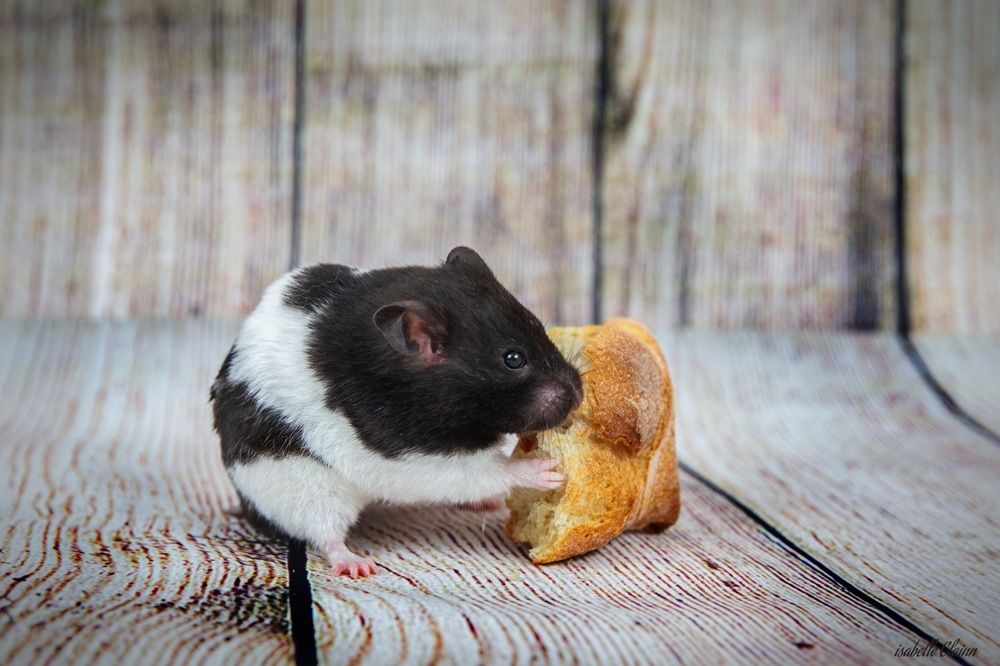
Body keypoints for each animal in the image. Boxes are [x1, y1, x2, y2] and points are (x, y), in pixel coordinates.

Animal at [210, 247, 584, 578]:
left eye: (539, 325)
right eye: (513, 359)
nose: (579, 397)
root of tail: (243, 502)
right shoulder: (412, 458)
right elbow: (486, 470)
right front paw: (547, 469)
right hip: (303, 486)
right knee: (323, 532)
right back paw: (356, 566)